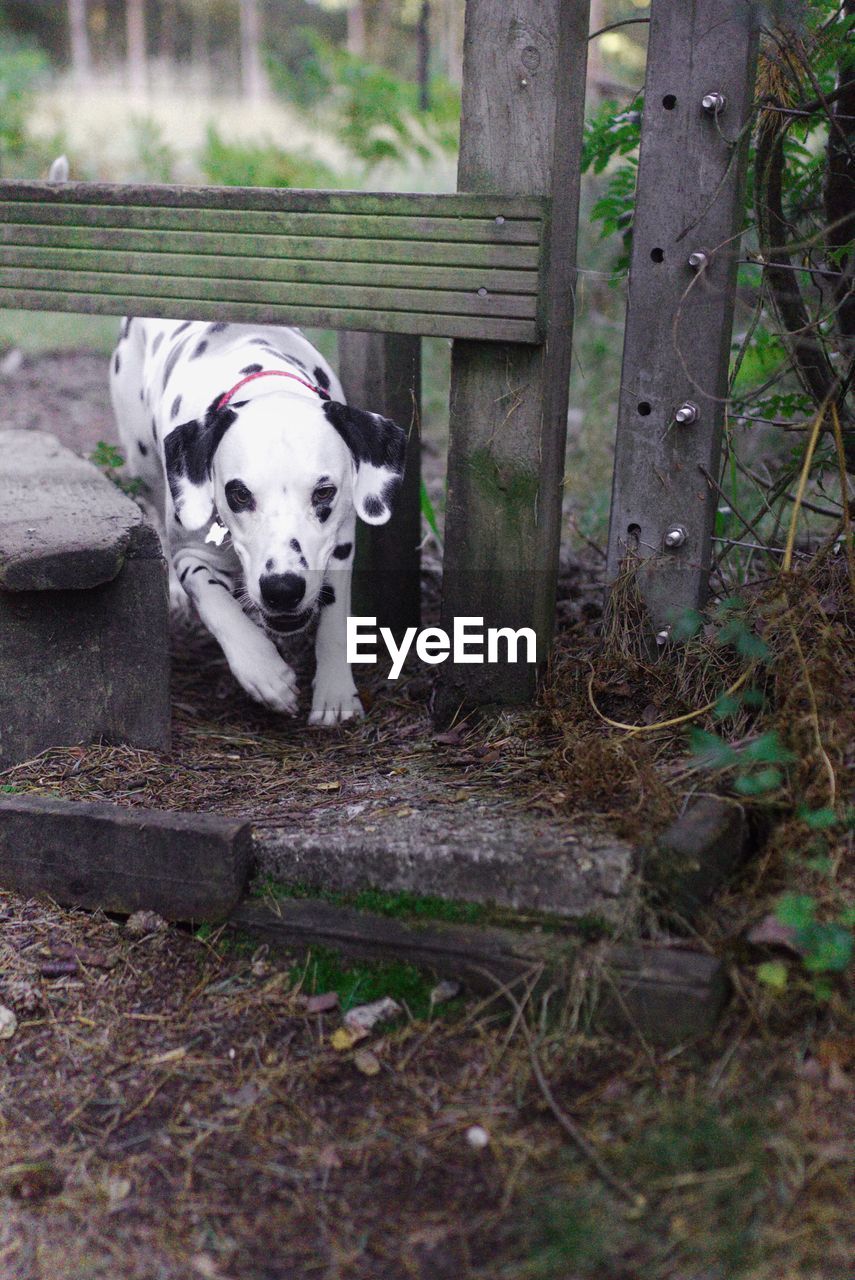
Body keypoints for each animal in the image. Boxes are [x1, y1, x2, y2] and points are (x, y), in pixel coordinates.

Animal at [110, 316, 407, 727]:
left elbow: (335, 621)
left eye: (324, 492)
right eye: (239, 494)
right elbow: (215, 603)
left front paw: (335, 692)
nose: (282, 589)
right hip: (146, 466)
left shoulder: (339, 549)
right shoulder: (192, 552)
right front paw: (263, 672)